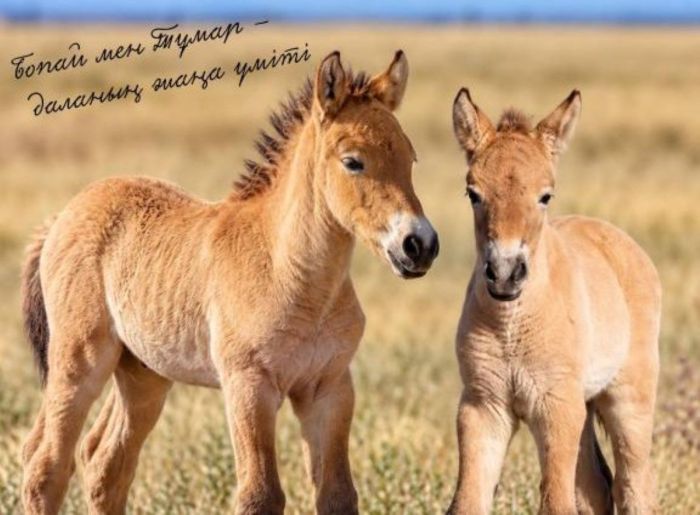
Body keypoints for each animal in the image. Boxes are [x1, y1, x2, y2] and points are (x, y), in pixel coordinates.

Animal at [20, 50, 439, 515]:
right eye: (353, 161)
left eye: (411, 159)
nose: (419, 245)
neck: (293, 277)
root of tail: (62, 216)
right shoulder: (248, 386)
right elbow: (260, 494)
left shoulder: (329, 388)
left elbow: (337, 495)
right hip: (79, 361)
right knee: (45, 465)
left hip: (142, 373)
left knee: (102, 464)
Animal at [448, 89, 661, 515]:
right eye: (473, 193)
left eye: (545, 195)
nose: (505, 273)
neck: (512, 327)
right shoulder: (483, 407)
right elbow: (469, 501)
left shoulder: (556, 407)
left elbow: (556, 502)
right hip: (582, 405)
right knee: (596, 488)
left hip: (628, 400)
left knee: (634, 485)